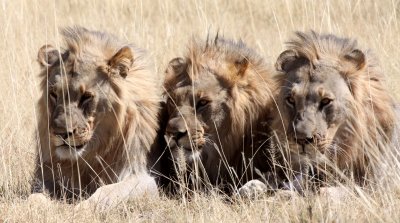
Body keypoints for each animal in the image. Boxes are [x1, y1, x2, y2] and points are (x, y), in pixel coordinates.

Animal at [30, 26, 161, 209]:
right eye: (54, 94)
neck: (90, 153)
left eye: (86, 97)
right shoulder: (46, 176)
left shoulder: (143, 178)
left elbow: (107, 191)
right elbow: (34, 196)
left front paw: (80, 208)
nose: (61, 133)